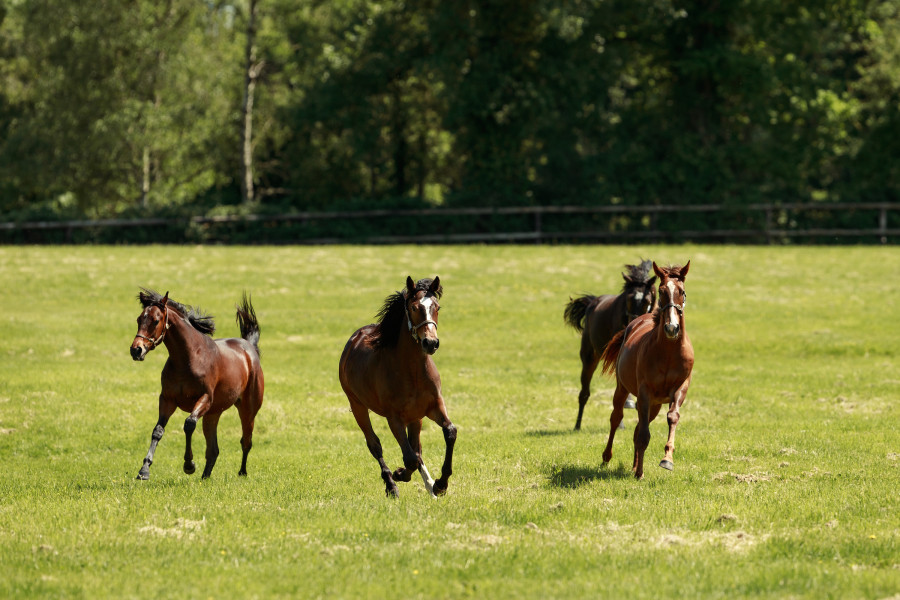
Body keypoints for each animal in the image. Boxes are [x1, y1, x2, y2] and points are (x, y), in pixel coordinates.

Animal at [130, 288, 264, 480]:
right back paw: (205, 477)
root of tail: (250, 348)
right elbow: (157, 431)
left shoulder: (204, 399)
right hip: (213, 415)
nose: (136, 350)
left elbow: (189, 424)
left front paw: (189, 465)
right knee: (213, 450)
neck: (188, 359)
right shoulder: (167, 400)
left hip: (247, 410)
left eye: (156, 320)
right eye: (139, 319)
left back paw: (242, 472)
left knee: (246, 441)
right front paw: (144, 470)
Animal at [342, 276, 460, 496]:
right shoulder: (394, 417)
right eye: (414, 307)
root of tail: (354, 339)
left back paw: (430, 486)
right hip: (357, 406)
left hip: (415, 418)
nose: (430, 343)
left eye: (437, 307)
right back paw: (391, 485)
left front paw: (440, 484)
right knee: (375, 445)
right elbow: (410, 458)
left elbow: (450, 432)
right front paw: (399, 474)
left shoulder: (434, 407)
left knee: (417, 448)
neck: (413, 372)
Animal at [568, 260, 656, 428]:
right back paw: (577, 425)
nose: (634, 322)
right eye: (628, 298)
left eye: (647, 300)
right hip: (589, 357)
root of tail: (592, 302)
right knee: (584, 393)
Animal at [596, 262, 696, 478]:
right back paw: (607, 456)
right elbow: (643, 434)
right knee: (616, 418)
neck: (669, 352)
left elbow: (672, 417)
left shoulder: (680, 388)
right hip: (623, 389)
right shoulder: (644, 392)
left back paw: (634, 465)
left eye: (682, 292)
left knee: (637, 427)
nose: (672, 328)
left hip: (655, 404)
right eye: (662, 291)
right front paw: (640, 473)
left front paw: (667, 460)